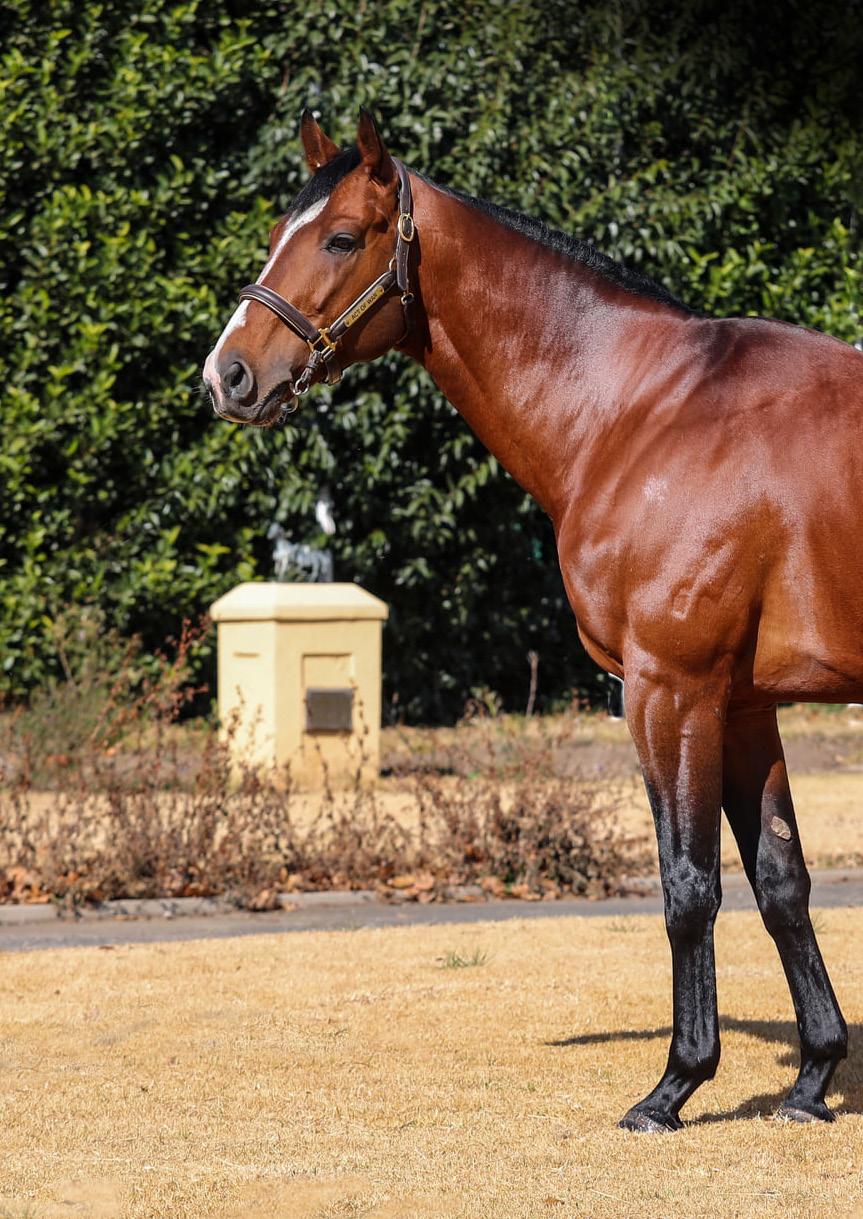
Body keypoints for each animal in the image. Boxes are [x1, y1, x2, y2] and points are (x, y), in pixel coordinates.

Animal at [203, 108, 863, 1132]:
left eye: (341, 238)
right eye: (279, 232)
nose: (227, 374)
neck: (646, 411)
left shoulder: (670, 692)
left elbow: (688, 885)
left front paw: (673, 1085)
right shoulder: (746, 703)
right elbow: (781, 882)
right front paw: (809, 1078)